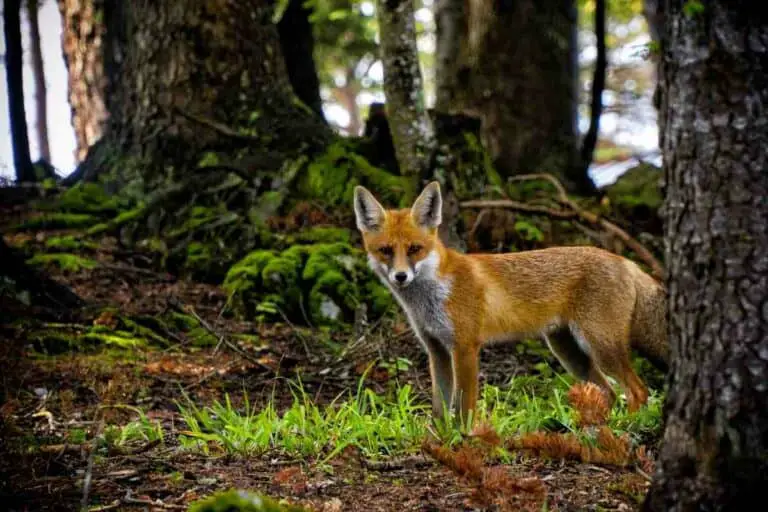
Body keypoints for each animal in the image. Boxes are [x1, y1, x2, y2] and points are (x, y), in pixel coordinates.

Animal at [353, 180, 669, 425]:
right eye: (385, 250)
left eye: (414, 249)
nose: (400, 276)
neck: (433, 294)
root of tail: (626, 261)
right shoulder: (437, 350)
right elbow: (440, 408)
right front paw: (438, 439)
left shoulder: (465, 347)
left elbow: (464, 408)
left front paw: (463, 440)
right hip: (569, 351)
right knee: (611, 392)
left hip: (600, 346)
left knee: (638, 391)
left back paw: (627, 427)